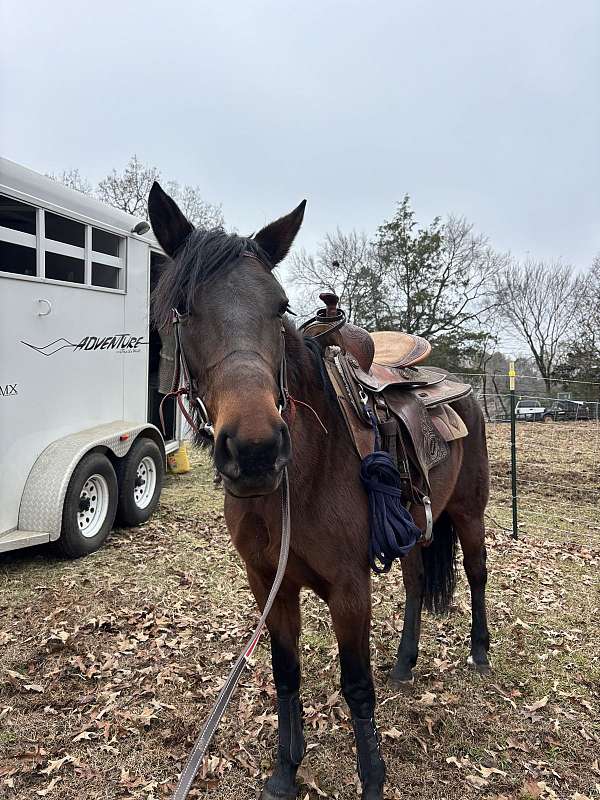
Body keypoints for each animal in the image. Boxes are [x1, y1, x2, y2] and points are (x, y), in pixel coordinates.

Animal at [148, 183, 491, 800]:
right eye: (182, 308)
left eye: (280, 305)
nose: (256, 450)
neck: (297, 484)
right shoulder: (269, 585)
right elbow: (286, 676)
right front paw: (285, 771)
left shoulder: (349, 588)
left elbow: (355, 686)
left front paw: (372, 779)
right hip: (415, 528)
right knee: (413, 585)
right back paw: (404, 664)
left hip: (470, 512)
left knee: (476, 573)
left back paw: (479, 651)